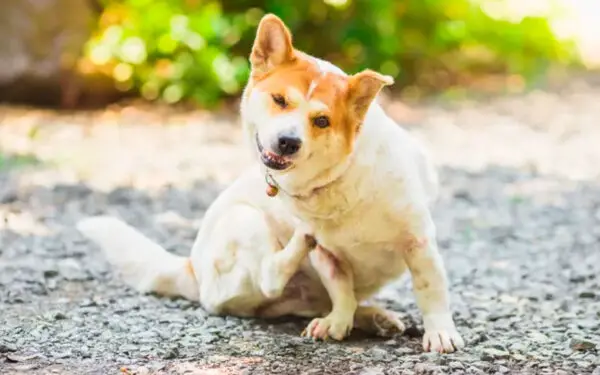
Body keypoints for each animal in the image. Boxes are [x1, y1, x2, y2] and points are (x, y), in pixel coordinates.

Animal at [76, 13, 464, 354]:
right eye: (280, 100)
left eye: (321, 121)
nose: (288, 142)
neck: (339, 180)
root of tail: (191, 269)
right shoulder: (327, 256)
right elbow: (340, 287)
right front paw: (338, 320)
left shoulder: (418, 241)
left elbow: (430, 289)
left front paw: (439, 332)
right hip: (244, 221)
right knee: (270, 276)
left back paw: (372, 317)